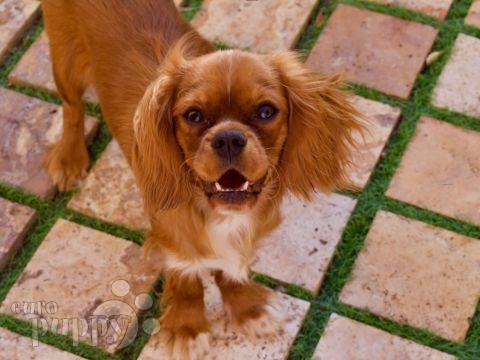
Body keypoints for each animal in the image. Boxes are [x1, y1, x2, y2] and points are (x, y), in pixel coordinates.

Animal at [43, 0, 362, 356]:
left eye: (266, 111)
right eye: (193, 115)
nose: (229, 138)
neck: (220, 213)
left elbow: (231, 270)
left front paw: (248, 309)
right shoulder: (173, 234)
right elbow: (187, 279)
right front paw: (188, 328)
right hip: (65, 61)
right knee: (72, 108)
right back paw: (70, 158)